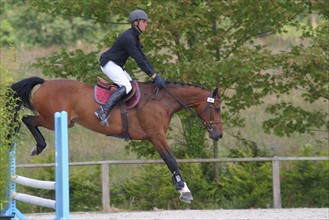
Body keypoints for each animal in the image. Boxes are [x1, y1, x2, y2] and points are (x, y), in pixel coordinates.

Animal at [9, 76, 223, 204]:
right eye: (217, 108)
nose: (218, 135)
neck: (162, 101)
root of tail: (45, 83)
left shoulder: (156, 136)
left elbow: (169, 160)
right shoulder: (156, 136)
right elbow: (170, 160)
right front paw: (184, 191)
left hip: (61, 122)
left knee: (28, 120)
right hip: (51, 119)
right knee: (26, 119)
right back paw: (34, 145)